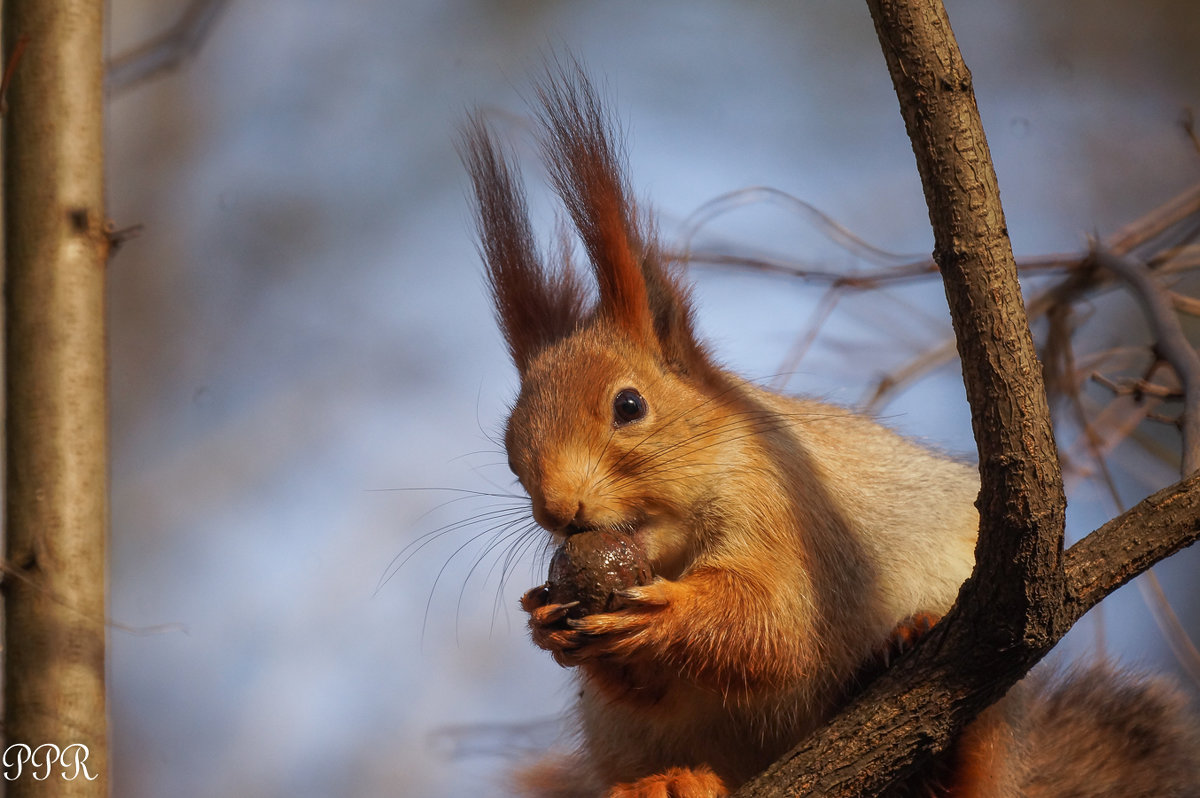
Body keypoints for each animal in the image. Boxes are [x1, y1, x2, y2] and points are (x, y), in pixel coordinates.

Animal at [458, 68, 1200, 796]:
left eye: (630, 405)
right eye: (510, 446)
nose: (558, 511)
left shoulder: (790, 516)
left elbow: (777, 627)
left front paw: (662, 614)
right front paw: (545, 619)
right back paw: (669, 784)